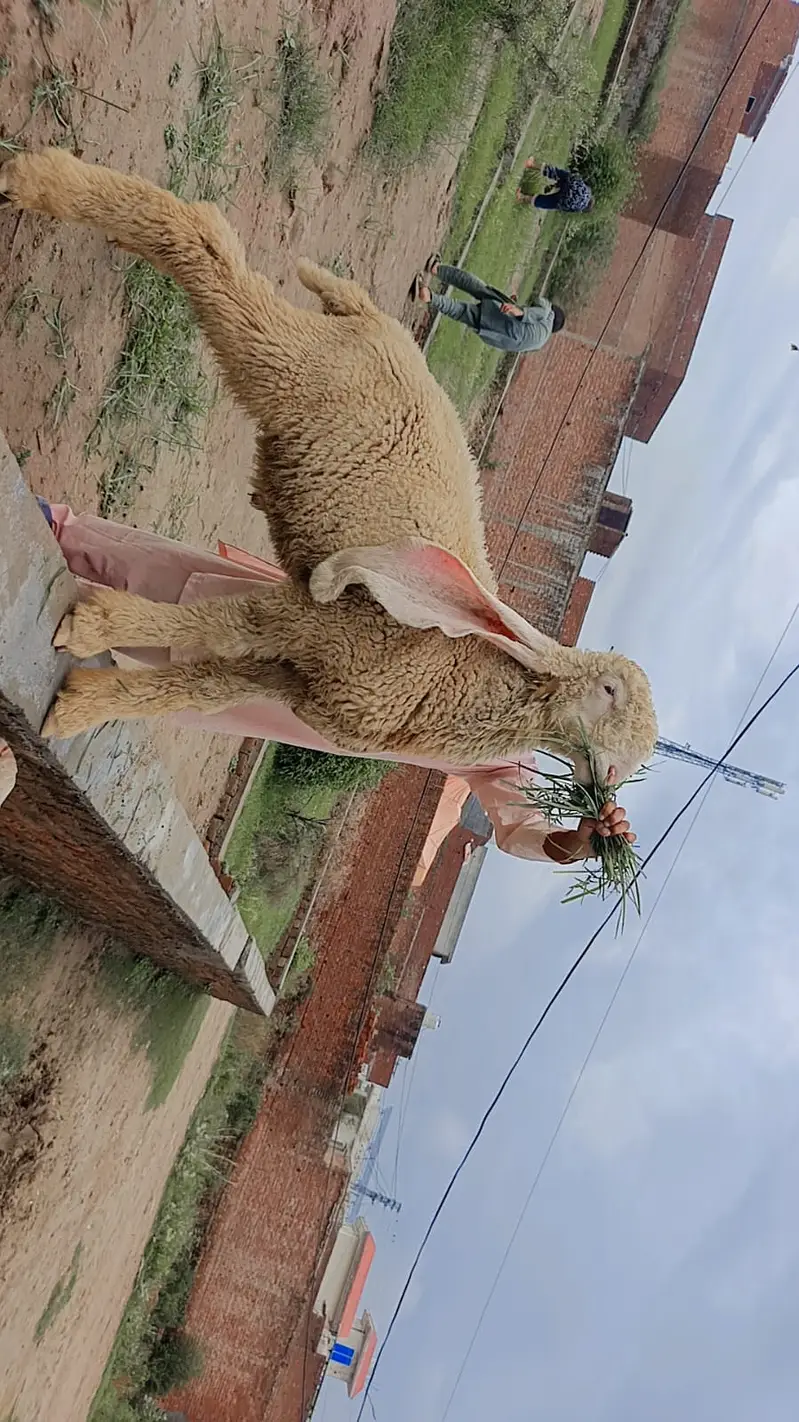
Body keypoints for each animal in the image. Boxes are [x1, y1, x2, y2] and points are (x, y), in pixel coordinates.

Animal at [0, 148, 658, 786]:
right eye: (608, 690)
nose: (609, 778)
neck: (449, 673)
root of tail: (378, 322)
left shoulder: (294, 674)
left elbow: (203, 685)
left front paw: (84, 704)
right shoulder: (321, 621)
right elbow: (220, 625)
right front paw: (95, 629)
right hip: (290, 364)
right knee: (208, 241)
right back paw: (37, 178)